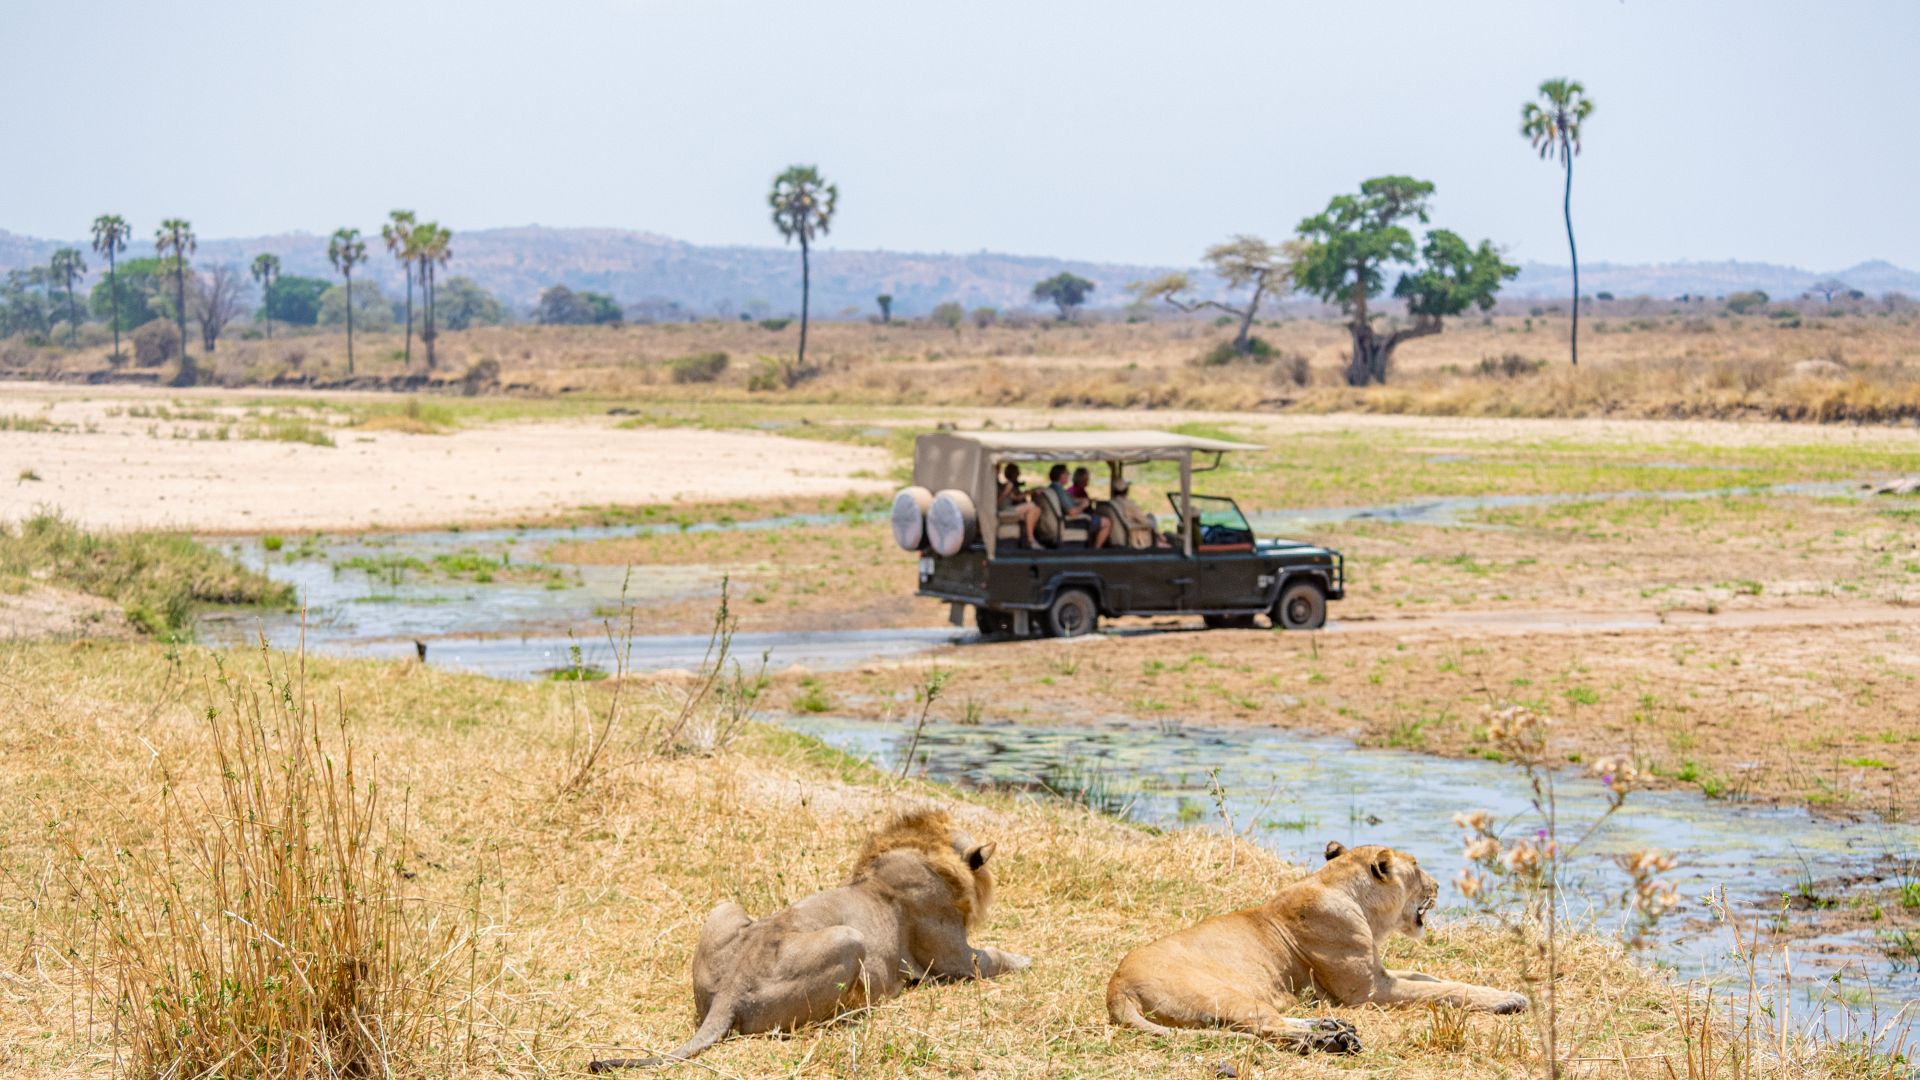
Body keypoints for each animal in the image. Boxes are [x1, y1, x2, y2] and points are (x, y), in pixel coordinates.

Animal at [588, 810, 1030, 1072]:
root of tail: (731, 990)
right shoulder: (955, 958)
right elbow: (995, 956)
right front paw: (1027, 959)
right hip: (850, 939)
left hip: (723, 907)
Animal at [1105, 841, 1526, 1055]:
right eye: (1418, 865)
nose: (1438, 885)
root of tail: (1116, 988)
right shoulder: (1368, 992)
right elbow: (1443, 990)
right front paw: (1509, 999)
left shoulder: (1379, 974)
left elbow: (1431, 978)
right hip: (1225, 993)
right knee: (1267, 1028)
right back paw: (1329, 1039)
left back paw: (1331, 1028)